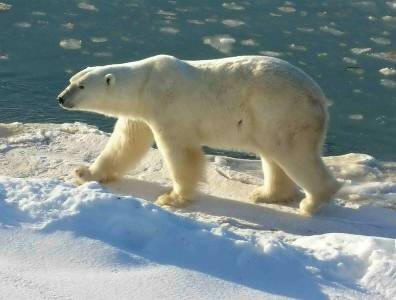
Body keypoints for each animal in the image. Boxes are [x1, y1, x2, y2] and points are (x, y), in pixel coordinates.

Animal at [58, 55, 340, 216]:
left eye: (81, 86)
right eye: (71, 80)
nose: (61, 98)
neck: (145, 83)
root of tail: (320, 98)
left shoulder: (168, 107)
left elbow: (180, 152)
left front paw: (172, 197)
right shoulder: (140, 114)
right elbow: (125, 143)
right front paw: (85, 173)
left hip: (282, 111)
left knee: (293, 154)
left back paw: (312, 202)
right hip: (268, 120)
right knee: (273, 155)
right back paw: (267, 194)